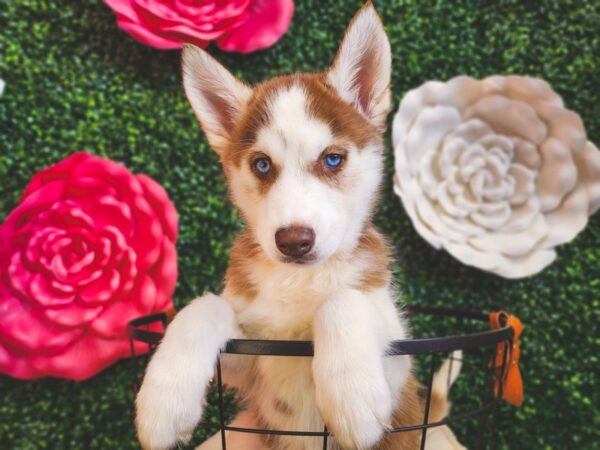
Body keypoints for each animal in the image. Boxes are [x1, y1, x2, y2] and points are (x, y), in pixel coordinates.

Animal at [135, 3, 464, 450]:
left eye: (332, 159)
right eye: (261, 165)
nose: (294, 242)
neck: (300, 282)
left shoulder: (401, 375)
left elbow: (341, 300)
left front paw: (353, 397)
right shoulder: (251, 360)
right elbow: (204, 306)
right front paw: (164, 400)